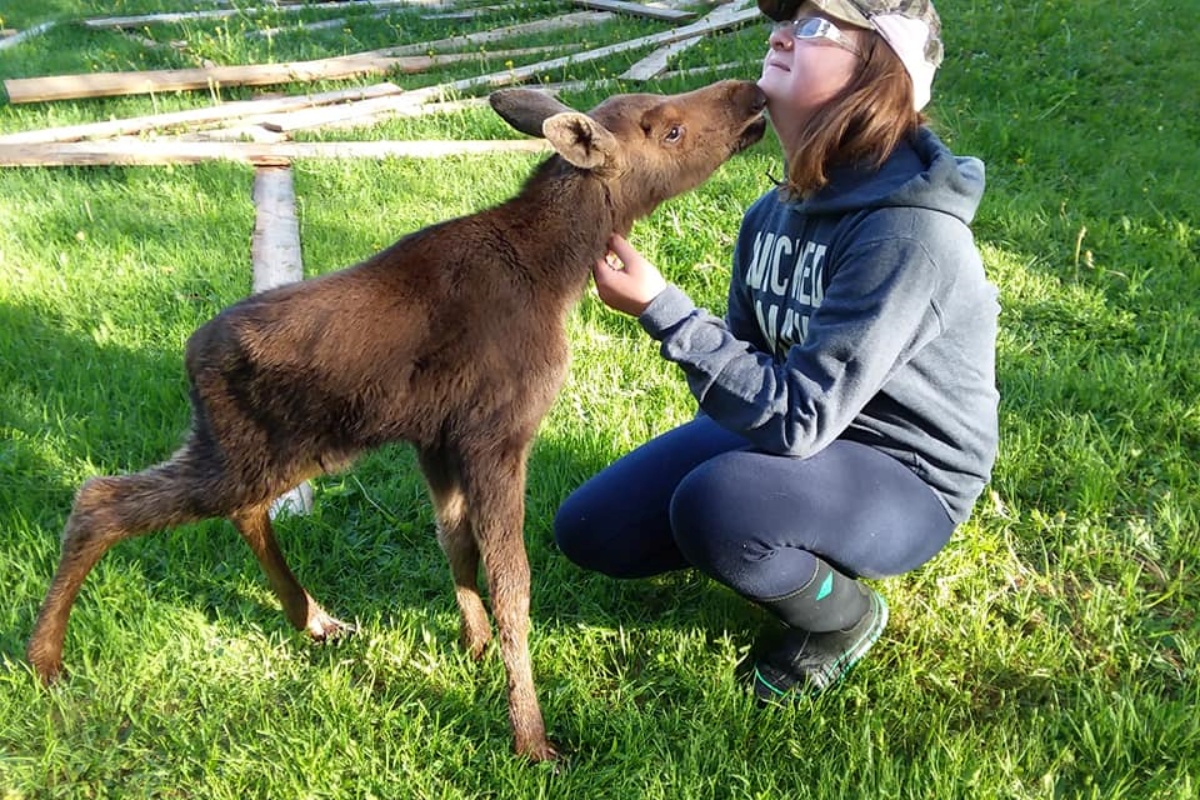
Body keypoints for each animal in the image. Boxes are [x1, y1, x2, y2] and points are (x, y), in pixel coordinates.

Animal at [28, 81, 768, 762]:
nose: (750, 93)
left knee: (233, 510)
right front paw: (531, 738)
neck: (559, 272)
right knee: (100, 498)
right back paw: (45, 660)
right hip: (249, 455)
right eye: (670, 130)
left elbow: (455, 543)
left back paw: (312, 618)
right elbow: (513, 584)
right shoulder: (496, 433)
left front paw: (473, 645)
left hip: (277, 452)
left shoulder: (436, 438)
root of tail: (189, 358)